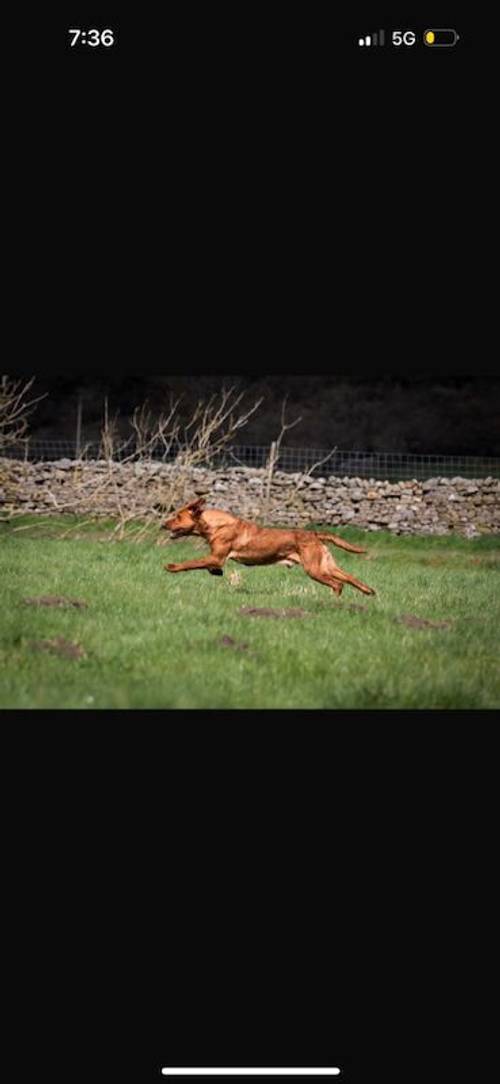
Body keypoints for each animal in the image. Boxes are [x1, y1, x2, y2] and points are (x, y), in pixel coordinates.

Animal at [160, 496, 373, 598]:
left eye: (177, 517)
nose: (163, 525)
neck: (215, 524)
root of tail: (313, 534)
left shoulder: (216, 557)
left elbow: (191, 563)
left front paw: (172, 567)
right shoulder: (215, 559)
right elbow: (206, 566)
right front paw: (216, 573)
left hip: (314, 569)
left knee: (338, 584)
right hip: (326, 565)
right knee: (351, 578)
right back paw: (369, 592)